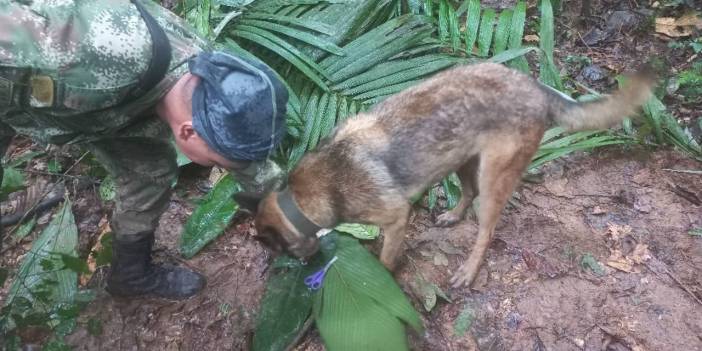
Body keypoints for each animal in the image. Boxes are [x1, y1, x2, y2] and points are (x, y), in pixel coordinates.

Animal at [256, 63, 656, 288]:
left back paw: (469, 270)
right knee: (467, 192)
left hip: (494, 178)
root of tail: (537, 87)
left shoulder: (396, 217)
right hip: (462, 159)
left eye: (277, 249)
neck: (303, 197)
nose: (298, 266)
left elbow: (385, 259)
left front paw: (381, 277)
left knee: (486, 230)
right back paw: (452, 215)